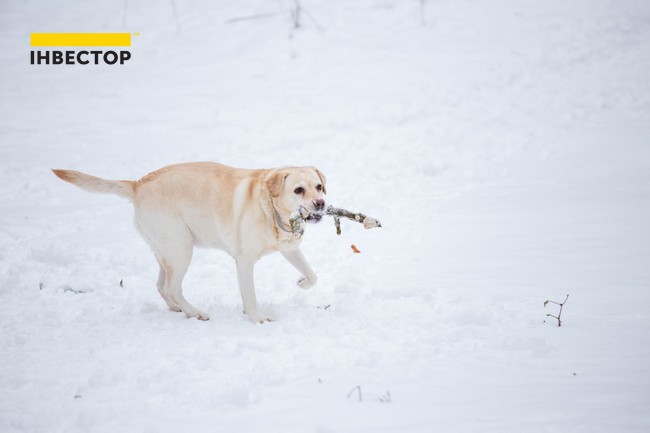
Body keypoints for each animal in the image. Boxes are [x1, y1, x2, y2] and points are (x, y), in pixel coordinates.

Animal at [51, 162, 326, 320]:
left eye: (319, 186)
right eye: (298, 190)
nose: (321, 203)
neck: (271, 208)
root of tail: (137, 185)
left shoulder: (289, 249)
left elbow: (314, 276)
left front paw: (301, 282)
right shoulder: (244, 261)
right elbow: (250, 293)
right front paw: (256, 317)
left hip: (166, 252)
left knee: (162, 286)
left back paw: (177, 309)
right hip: (181, 249)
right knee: (173, 288)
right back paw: (194, 312)